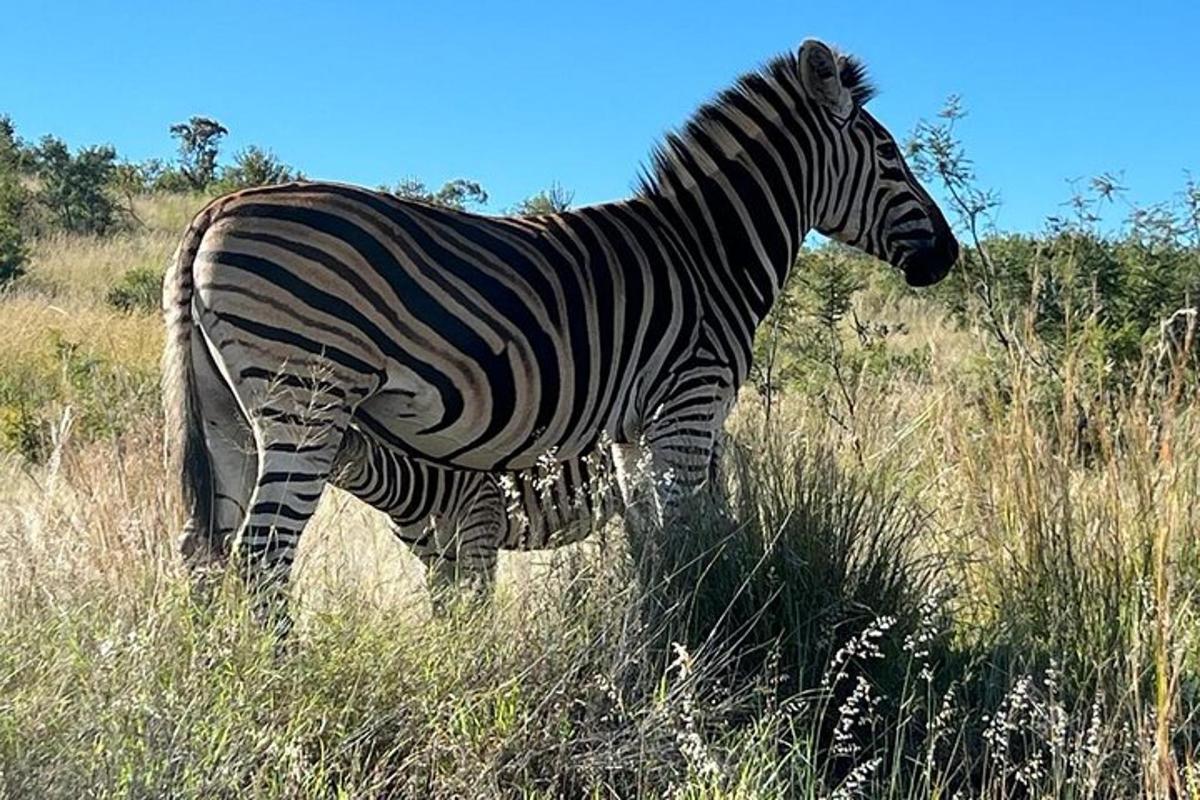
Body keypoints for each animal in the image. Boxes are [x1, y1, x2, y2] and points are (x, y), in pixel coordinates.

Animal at [166, 38, 955, 623]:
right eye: (891, 158)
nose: (946, 256)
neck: (708, 252)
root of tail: (213, 210)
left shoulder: (634, 428)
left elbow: (649, 544)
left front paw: (659, 633)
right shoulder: (691, 406)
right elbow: (682, 539)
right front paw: (696, 636)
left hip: (229, 413)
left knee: (207, 551)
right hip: (306, 395)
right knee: (262, 554)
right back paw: (282, 679)